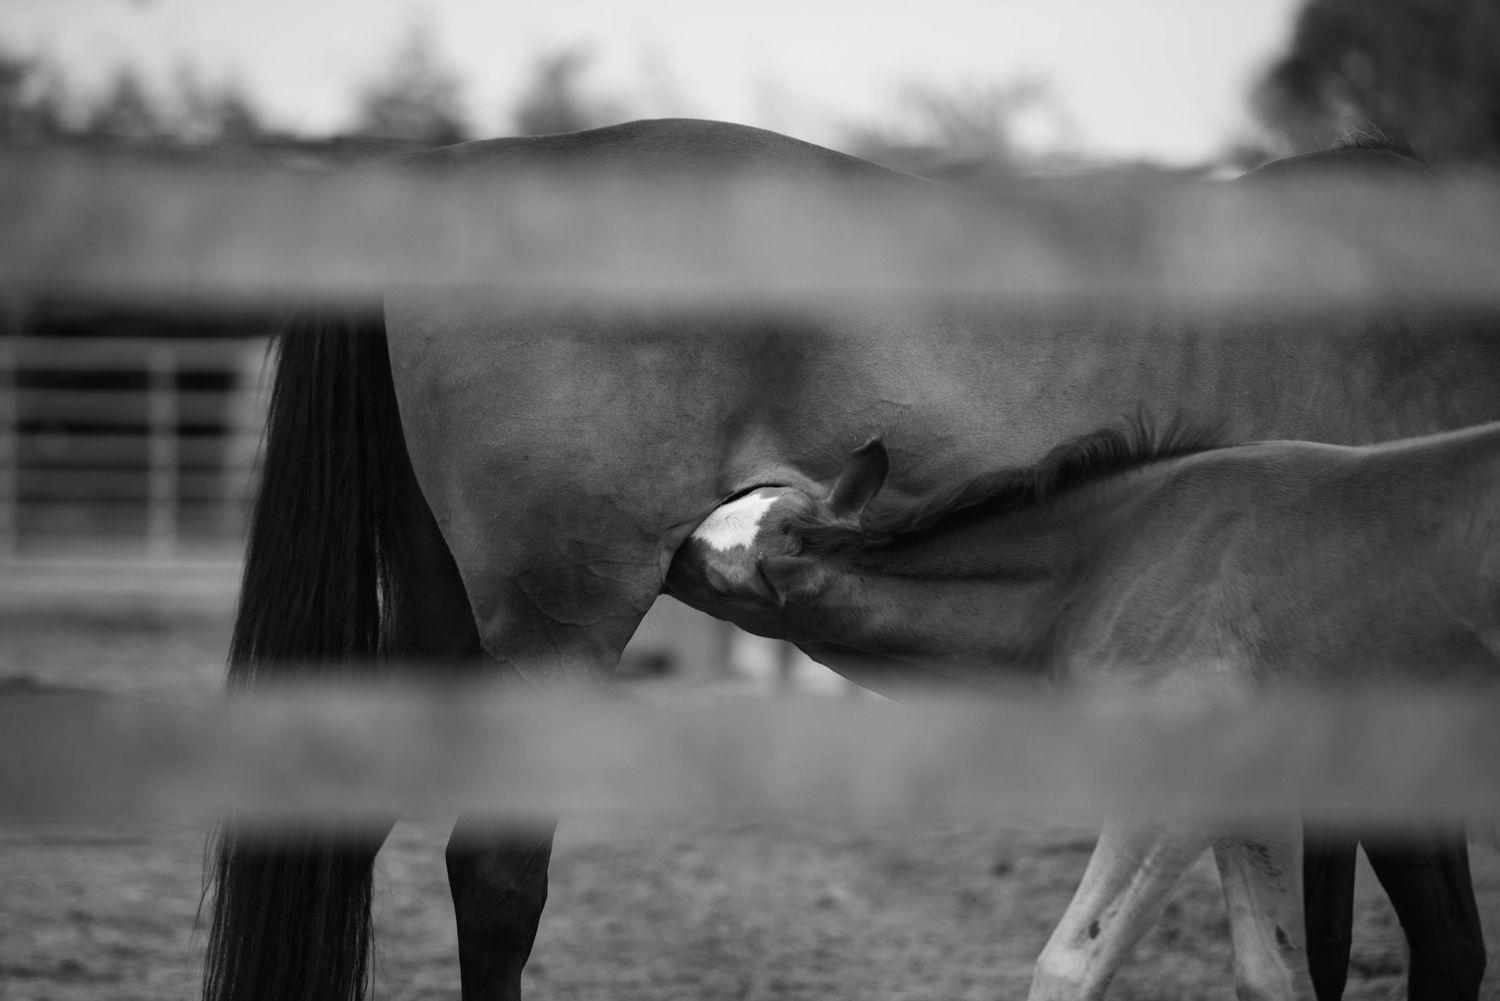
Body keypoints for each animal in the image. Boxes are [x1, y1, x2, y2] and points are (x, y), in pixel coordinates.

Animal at [666, 418, 1500, 1000]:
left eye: (705, 559)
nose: (663, 546)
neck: (1104, 565)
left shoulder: (1171, 787)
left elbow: (1068, 964)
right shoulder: (1258, 796)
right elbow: (1273, 972)